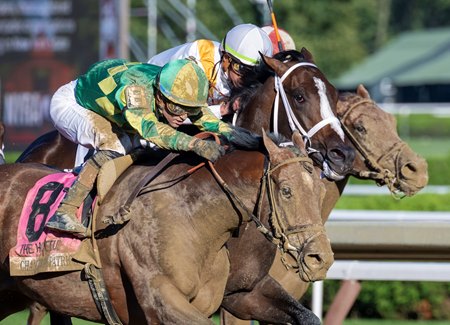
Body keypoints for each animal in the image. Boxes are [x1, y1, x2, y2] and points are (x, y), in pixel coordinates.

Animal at [0, 132, 334, 324]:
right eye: (286, 190)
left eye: (319, 190)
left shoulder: (241, 292)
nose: (321, 258)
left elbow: (307, 317)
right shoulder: (159, 299)